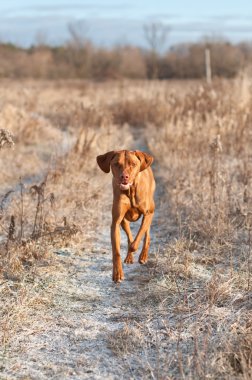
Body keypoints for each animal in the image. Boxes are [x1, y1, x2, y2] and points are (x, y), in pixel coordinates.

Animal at [96, 150, 156, 284]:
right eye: (116, 164)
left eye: (133, 164)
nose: (124, 177)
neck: (131, 191)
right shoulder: (116, 222)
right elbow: (117, 251)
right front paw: (117, 273)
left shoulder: (148, 213)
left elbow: (136, 241)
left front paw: (134, 250)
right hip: (124, 221)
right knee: (129, 235)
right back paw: (129, 257)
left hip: (150, 213)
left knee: (147, 235)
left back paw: (143, 256)